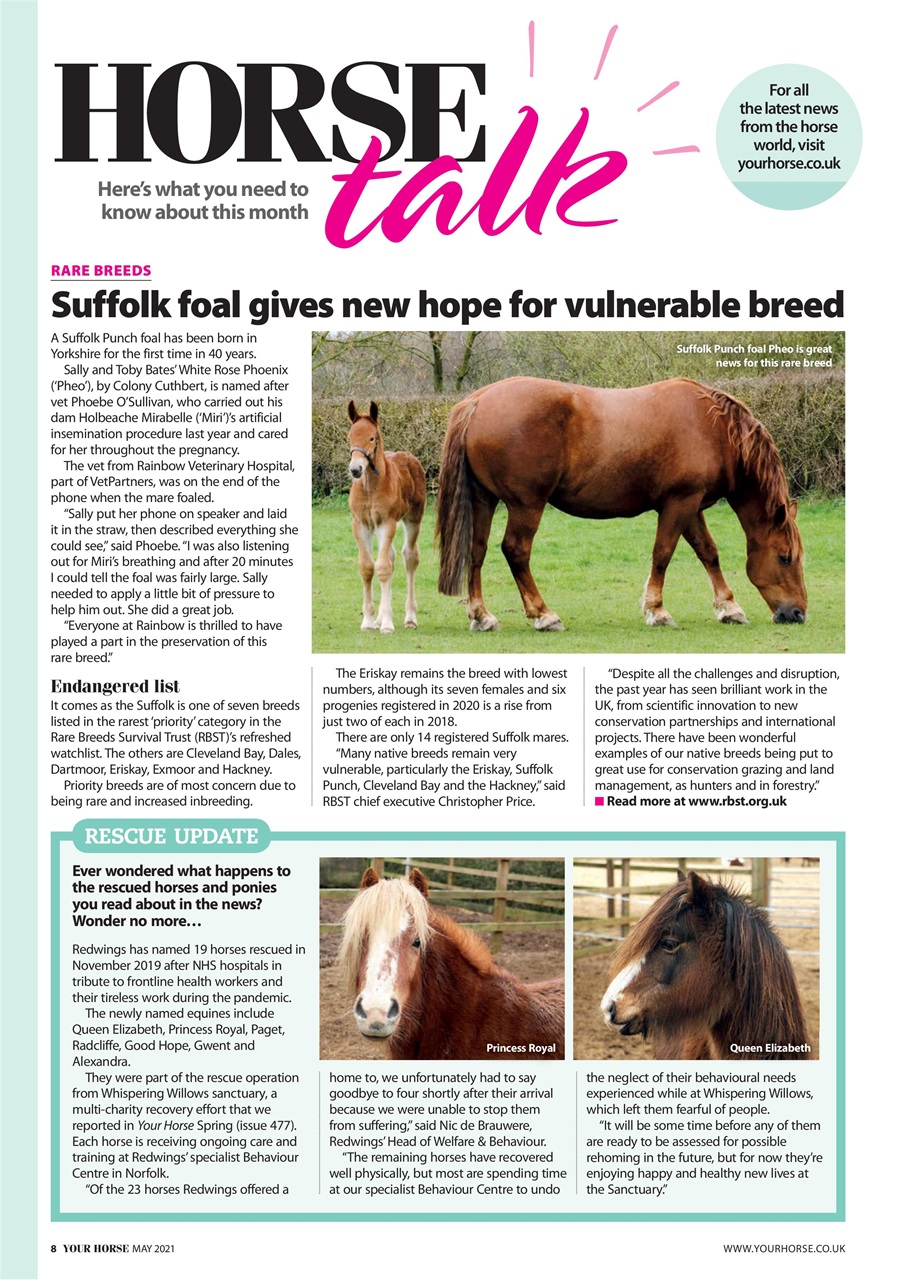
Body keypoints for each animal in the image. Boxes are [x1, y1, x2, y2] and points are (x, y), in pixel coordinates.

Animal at [347, 400, 426, 633]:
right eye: (350, 437)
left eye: (372, 438)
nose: (355, 469)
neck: (370, 487)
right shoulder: (361, 525)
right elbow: (367, 567)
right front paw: (368, 621)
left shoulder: (387, 522)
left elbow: (382, 567)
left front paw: (388, 625)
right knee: (390, 556)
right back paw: (380, 618)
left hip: (413, 519)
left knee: (409, 557)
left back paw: (410, 618)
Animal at [436, 376, 807, 631]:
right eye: (785, 557)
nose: (798, 613)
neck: (712, 428)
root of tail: (478, 401)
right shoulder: (679, 503)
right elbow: (663, 554)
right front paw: (657, 610)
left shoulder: (691, 506)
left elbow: (708, 553)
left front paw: (729, 608)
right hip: (526, 505)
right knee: (516, 551)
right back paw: (544, 614)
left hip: (484, 499)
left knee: (477, 551)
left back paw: (482, 616)